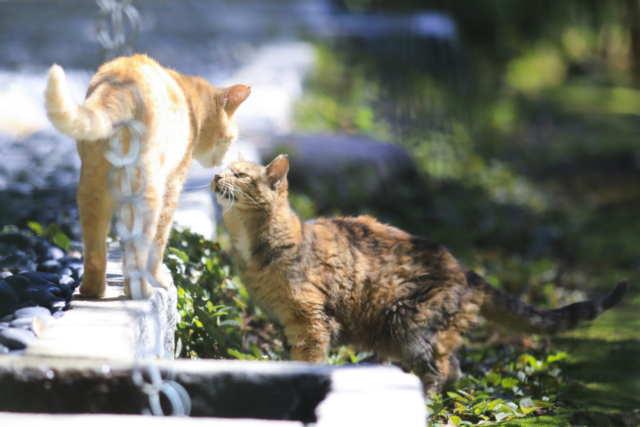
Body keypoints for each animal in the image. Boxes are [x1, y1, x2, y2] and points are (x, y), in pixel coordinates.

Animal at [44, 55, 250, 300]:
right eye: (231, 138)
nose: (225, 162)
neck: (191, 105)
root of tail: (119, 85)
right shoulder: (172, 186)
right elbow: (159, 241)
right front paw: (159, 278)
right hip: (148, 195)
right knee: (140, 247)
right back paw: (142, 290)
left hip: (92, 190)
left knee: (96, 250)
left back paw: (94, 291)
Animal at [210, 155, 624, 396]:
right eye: (222, 170)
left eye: (239, 174)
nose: (214, 176)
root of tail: (466, 271)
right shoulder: (284, 322)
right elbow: (289, 355)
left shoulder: (310, 320)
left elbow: (308, 360)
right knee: (454, 366)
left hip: (408, 325)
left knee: (438, 368)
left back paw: (429, 405)